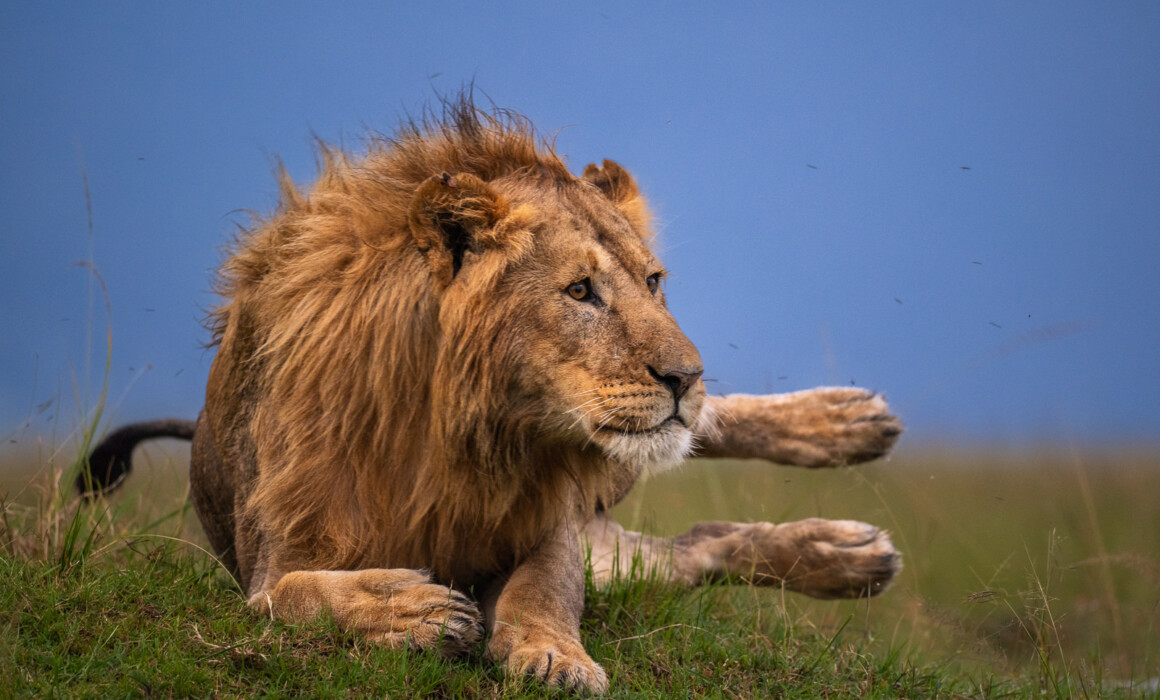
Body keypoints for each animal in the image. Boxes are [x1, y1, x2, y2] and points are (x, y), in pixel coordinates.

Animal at [79, 97, 902, 694]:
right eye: (580, 291)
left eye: (653, 282)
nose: (687, 377)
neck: (460, 428)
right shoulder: (268, 565)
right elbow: (303, 597)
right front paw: (414, 610)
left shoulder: (550, 520)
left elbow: (543, 592)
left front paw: (553, 656)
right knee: (695, 545)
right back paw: (846, 550)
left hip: (618, 462)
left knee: (702, 446)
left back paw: (850, 428)